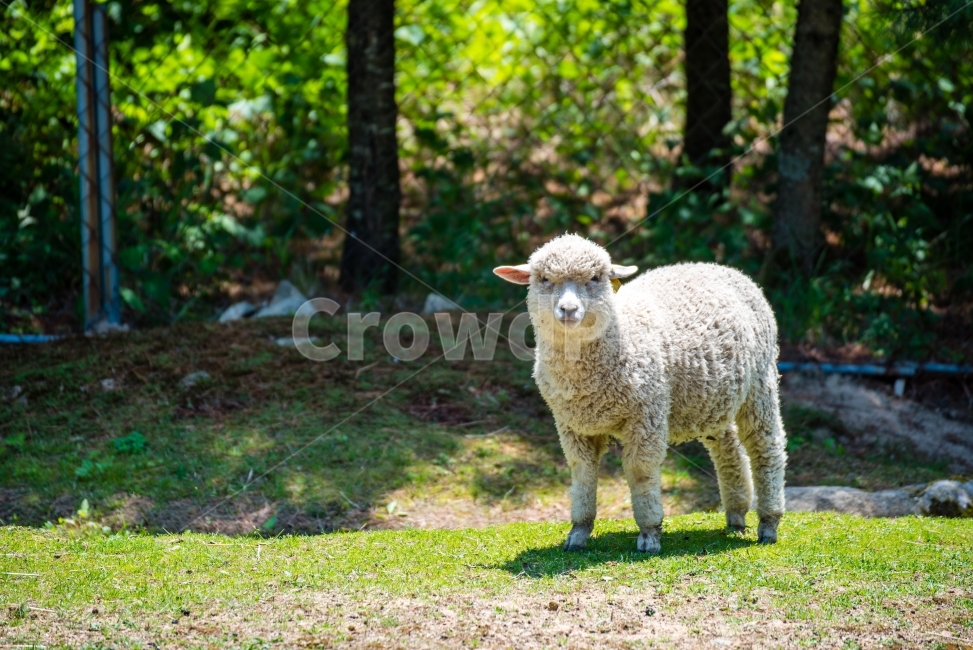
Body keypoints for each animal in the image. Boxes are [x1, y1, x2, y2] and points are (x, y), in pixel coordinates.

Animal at [494, 234, 786, 553]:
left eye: (595, 278)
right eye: (544, 279)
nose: (568, 310)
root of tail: (723, 268)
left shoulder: (647, 413)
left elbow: (640, 470)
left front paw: (649, 534)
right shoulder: (573, 425)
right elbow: (582, 472)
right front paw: (578, 532)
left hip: (761, 381)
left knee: (765, 446)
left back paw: (768, 523)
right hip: (712, 399)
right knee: (728, 448)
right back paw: (736, 515)